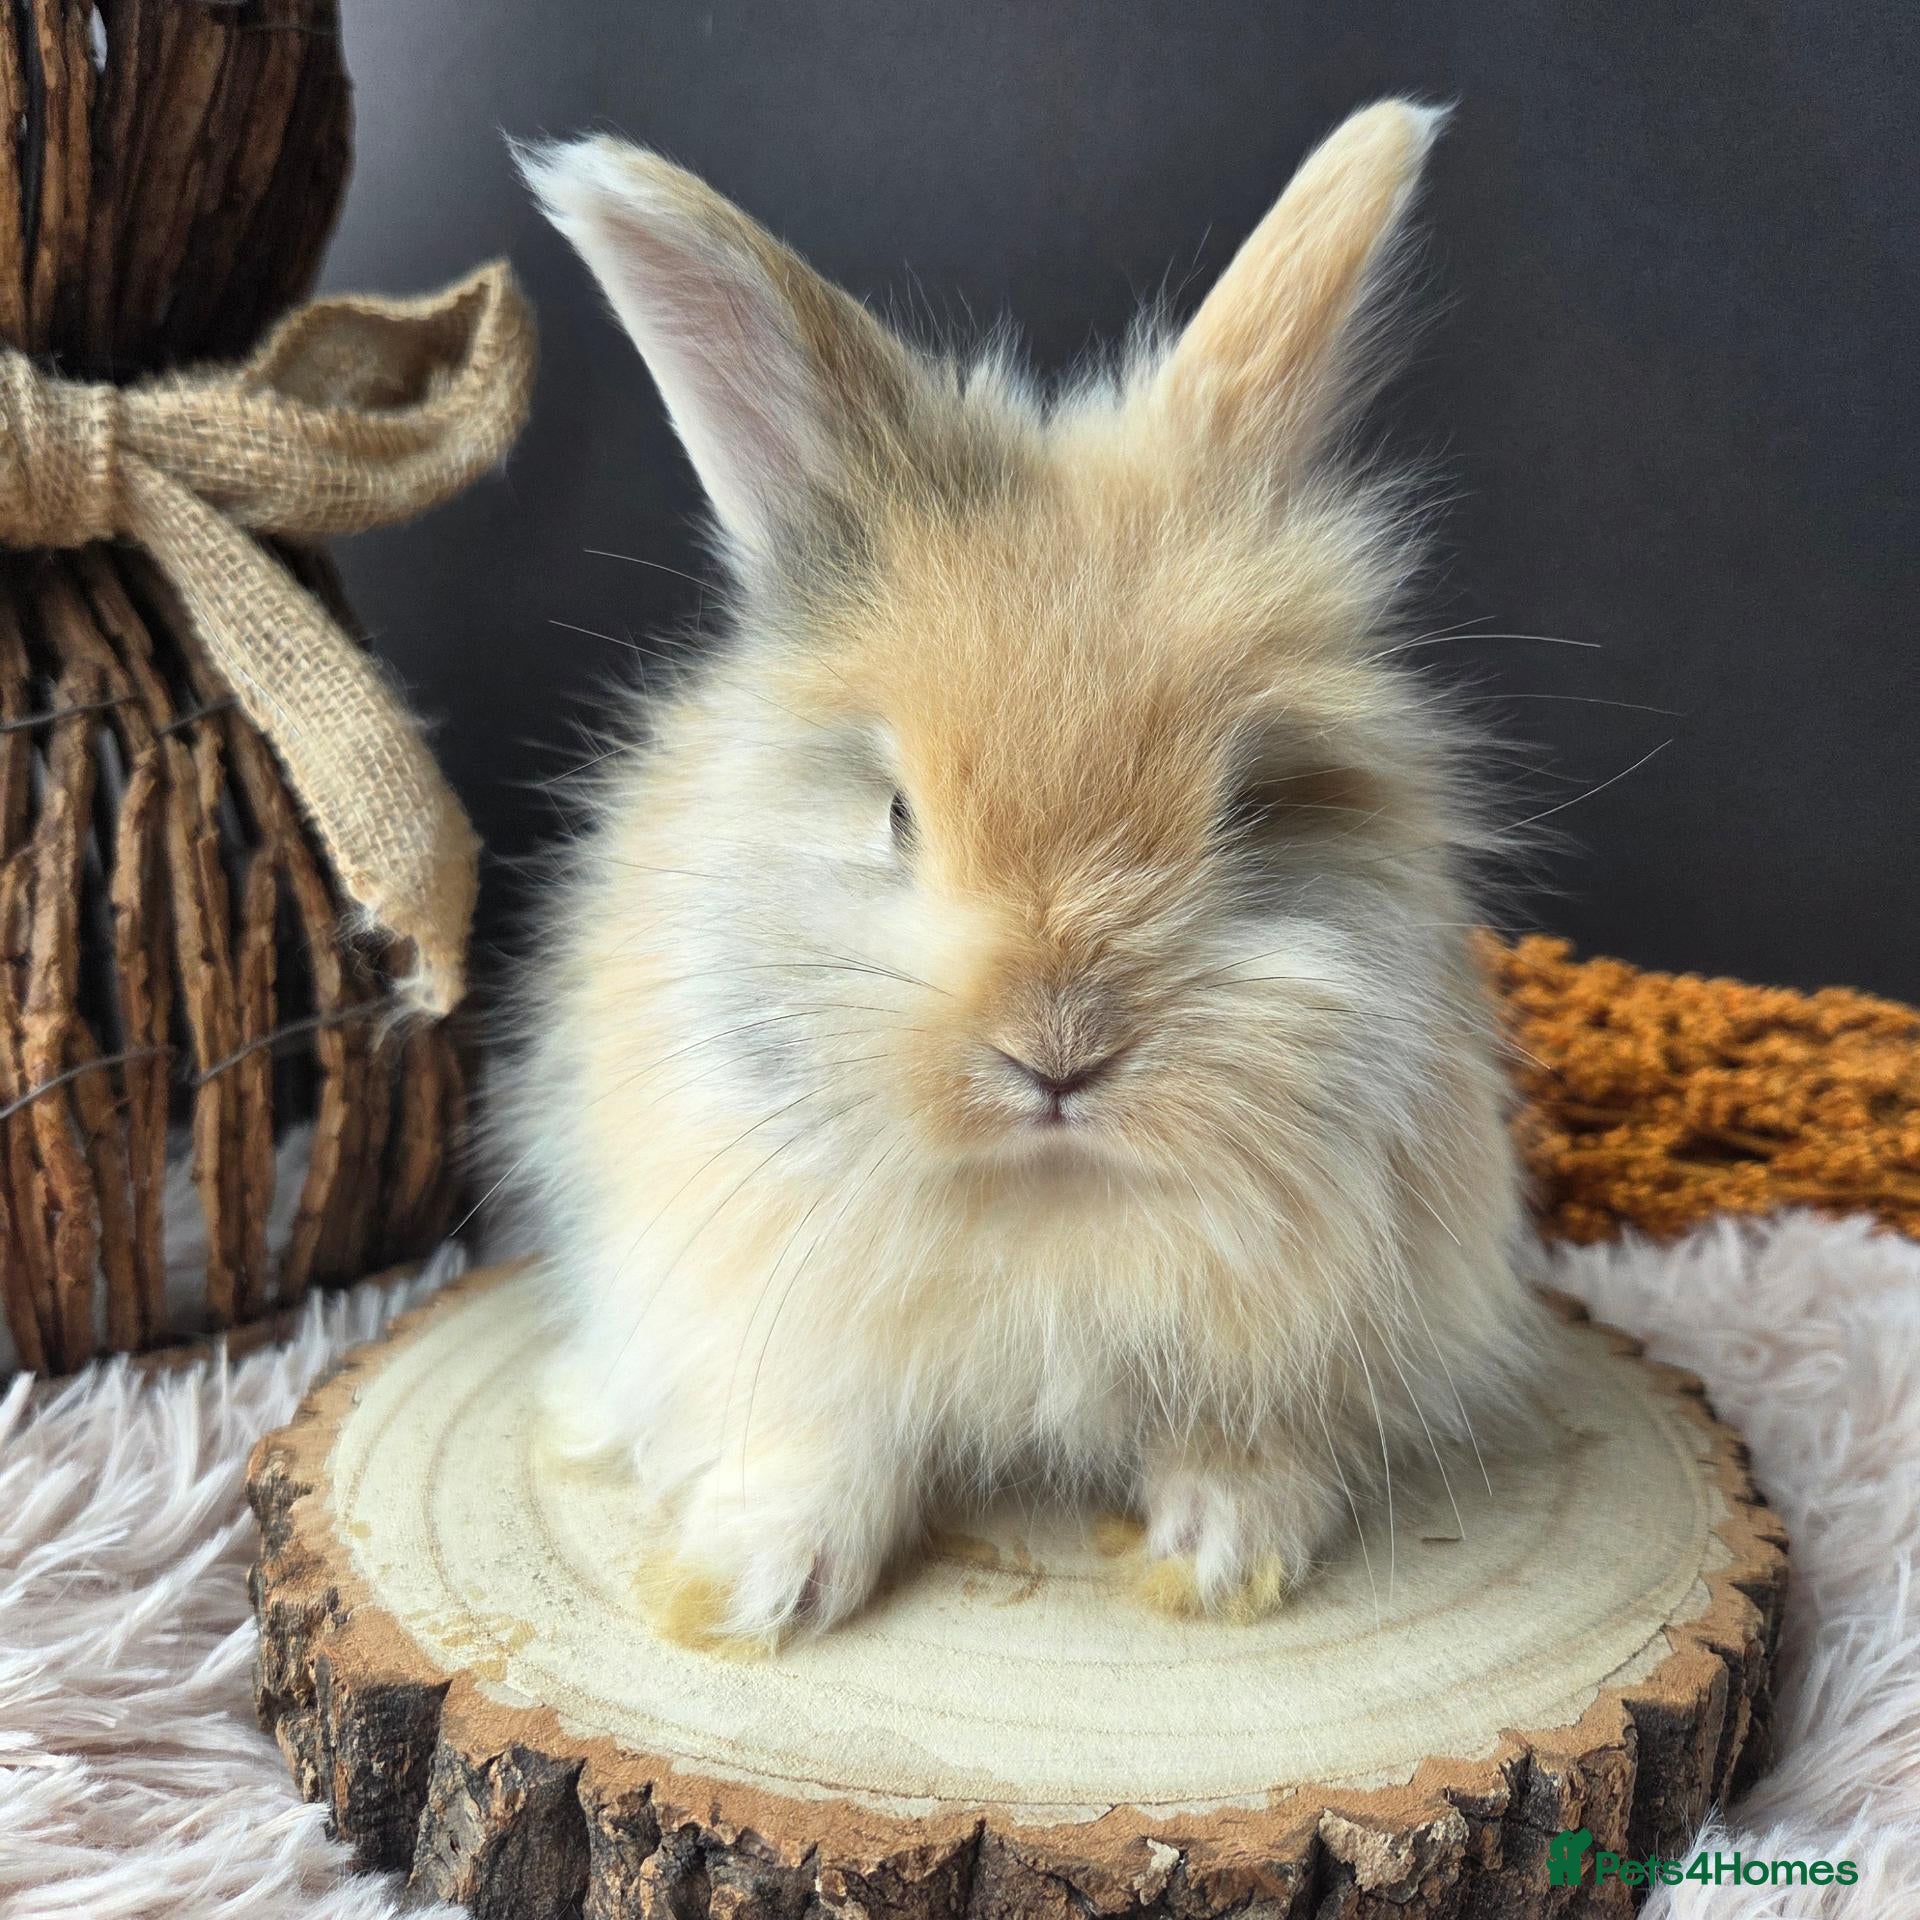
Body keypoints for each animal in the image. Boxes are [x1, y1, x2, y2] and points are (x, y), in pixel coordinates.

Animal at [503, 99, 1549, 1649]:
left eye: (1249, 809)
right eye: (895, 813)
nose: (1059, 1056)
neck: (1049, 1205)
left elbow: (1251, 1430)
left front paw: (1222, 1552)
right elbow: (817, 1433)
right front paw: (757, 1583)